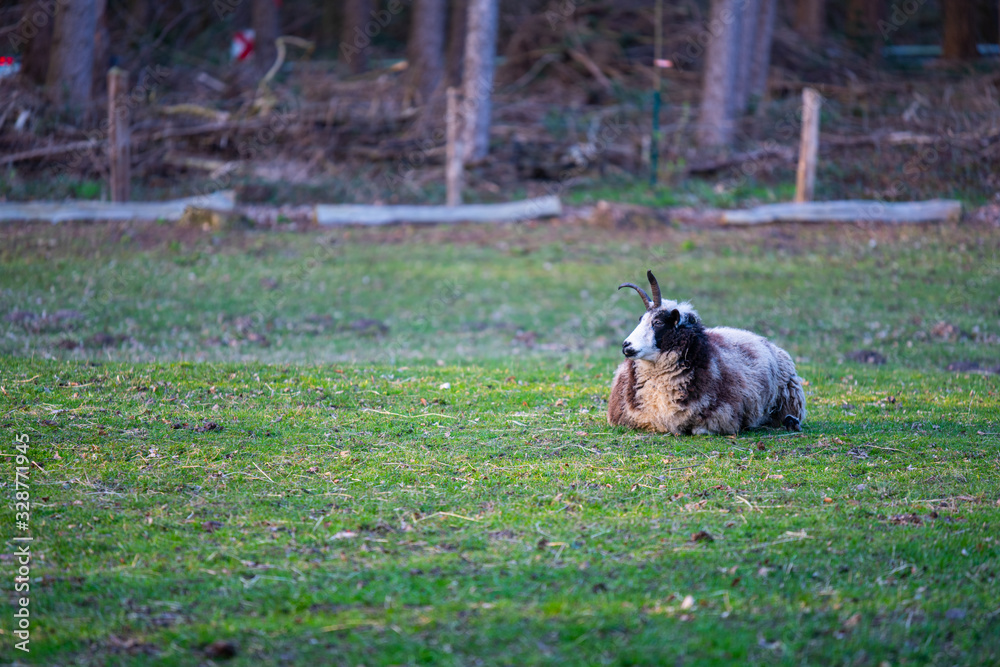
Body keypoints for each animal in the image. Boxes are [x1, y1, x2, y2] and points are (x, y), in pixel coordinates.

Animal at [608, 270, 806, 435]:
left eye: (658, 322)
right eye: (641, 319)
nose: (626, 345)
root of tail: (762, 338)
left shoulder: (722, 417)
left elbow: (698, 431)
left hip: (790, 396)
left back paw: (790, 422)